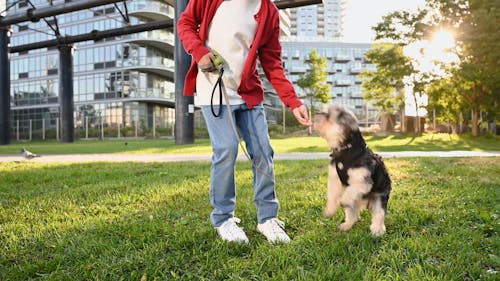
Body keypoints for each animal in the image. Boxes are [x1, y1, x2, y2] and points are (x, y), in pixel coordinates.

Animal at [314, 104, 392, 235]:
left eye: (328, 115)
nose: (316, 114)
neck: (346, 151)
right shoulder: (335, 179)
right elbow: (332, 195)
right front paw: (330, 209)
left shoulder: (362, 181)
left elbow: (350, 192)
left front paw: (343, 200)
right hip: (356, 202)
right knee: (352, 214)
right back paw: (347, 225)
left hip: (379, 197)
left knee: (378, 214)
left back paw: (377, 229)